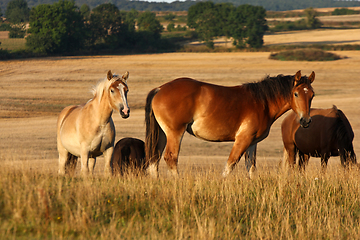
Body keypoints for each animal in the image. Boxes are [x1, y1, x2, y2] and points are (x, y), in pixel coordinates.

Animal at [146, 70, 316, 177]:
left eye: (312, 95)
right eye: (296, 94)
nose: (306, 121)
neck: (263, 102)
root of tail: (159, 89)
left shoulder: (252, 142)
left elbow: (251, 168)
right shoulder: (243, 140)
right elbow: (230, 165)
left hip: (162, 134)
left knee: (155, 159)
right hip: (175, 133)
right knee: (170, 157)